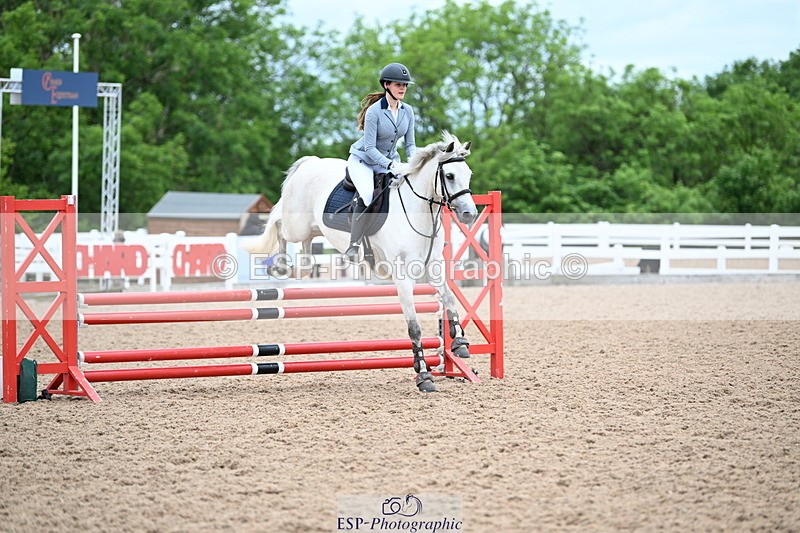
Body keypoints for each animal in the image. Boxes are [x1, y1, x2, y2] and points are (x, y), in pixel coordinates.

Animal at [244, 132, 477, 392]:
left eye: (468, 174)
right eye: (450, 176)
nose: (470, 214)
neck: (418, 213)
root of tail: (310, 162)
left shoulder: (434, 270)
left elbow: (449, 299)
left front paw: (460, 343)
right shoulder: (403, 279)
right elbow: (414, 327)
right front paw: (424, 375)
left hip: (313, 230)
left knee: (306, 259)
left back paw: (289, 268)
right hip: (297, 226)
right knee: (279, 226)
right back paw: (280, 264)